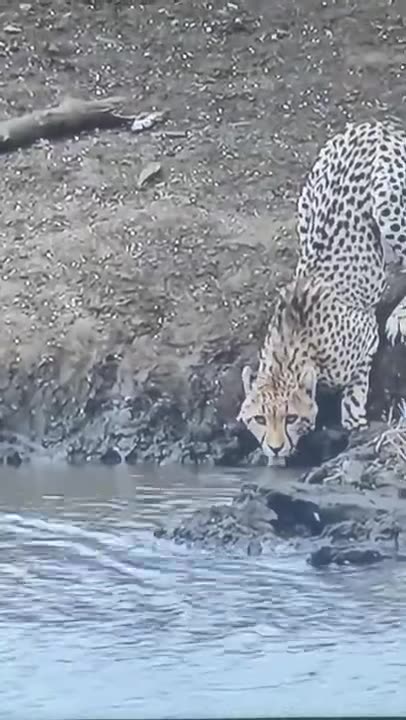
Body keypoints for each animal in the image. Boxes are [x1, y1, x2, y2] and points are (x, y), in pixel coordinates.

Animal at [238, 119, 406, 465]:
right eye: (259, 418)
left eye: (290, 417)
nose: (275, 447)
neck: (291, 348)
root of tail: (376, 124)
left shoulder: (366, 338)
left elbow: (355, 392)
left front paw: (354, 420)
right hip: (307, 203)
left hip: (388, 202)